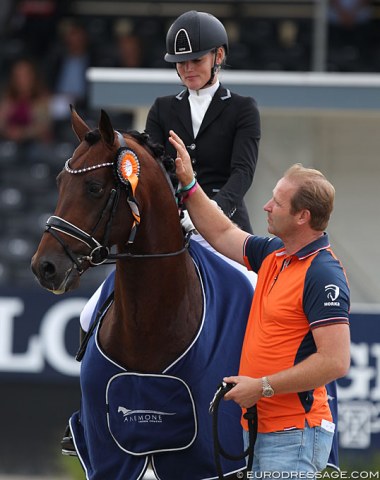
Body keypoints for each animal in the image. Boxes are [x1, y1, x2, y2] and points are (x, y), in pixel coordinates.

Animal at [31, 109, 254, 480]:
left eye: (94, 188)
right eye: (60, 182)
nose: (44, 267)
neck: (149, 323)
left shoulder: (204, 457)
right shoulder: (108, 453)